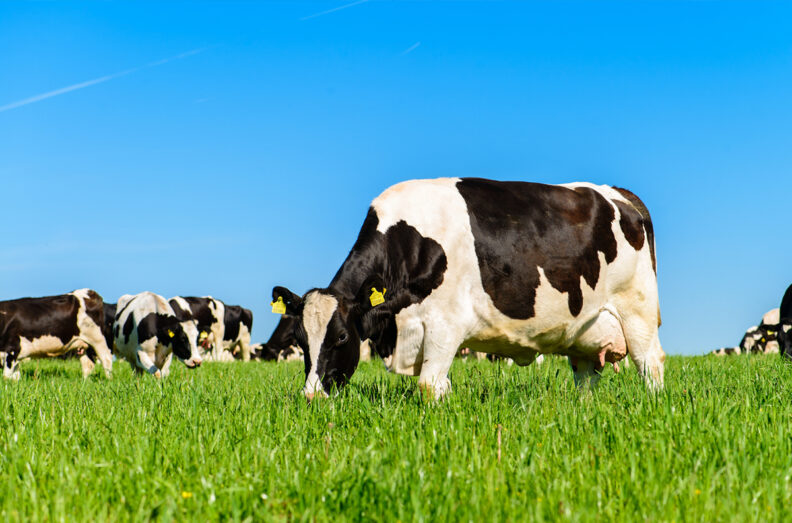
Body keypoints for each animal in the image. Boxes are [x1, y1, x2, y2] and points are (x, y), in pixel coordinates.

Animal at [272, 178, 665, 400]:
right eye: (301, 341)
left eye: (341, 337)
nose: (312, 396)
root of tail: (617, 193)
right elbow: (441, 387)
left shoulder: (446, 324)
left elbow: (429, 386)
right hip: (584, 330)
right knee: (586, 378)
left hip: (637, 310)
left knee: (651, 364)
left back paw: (653, 405)